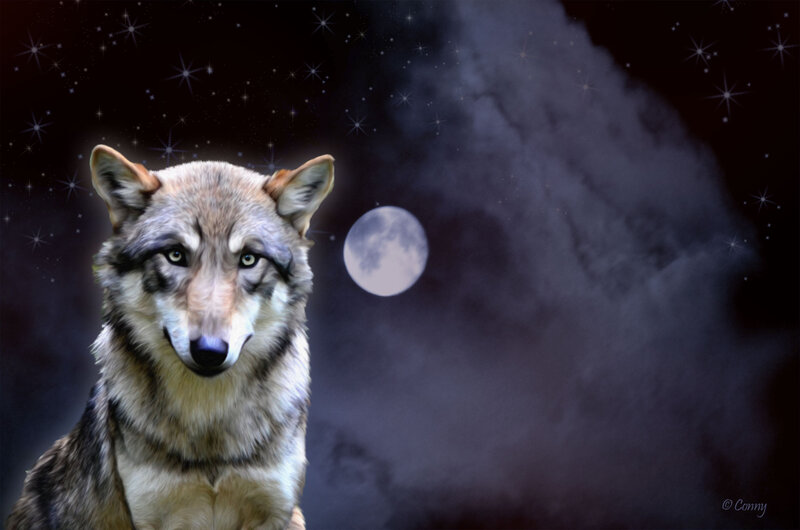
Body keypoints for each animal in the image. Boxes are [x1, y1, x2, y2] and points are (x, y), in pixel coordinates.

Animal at [8, 145, 334, 529]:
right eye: (176, 255)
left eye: (248, 259)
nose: (209, 351)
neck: (209, 424)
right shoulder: (154, 516)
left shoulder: (277, 513)